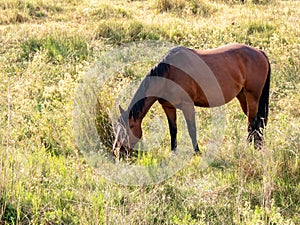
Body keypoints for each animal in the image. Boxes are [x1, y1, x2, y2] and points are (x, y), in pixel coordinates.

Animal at [111, 43, 270, 157]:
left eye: (129, 128)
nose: (117, 151)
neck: (169, 73)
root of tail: (260, 52)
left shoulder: (188, 106)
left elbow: (191, 129)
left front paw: (197, 151)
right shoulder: (168, 107)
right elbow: (173, 130)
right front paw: (173, 152)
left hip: (252, 97)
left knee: (252, 123)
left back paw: (248, 147)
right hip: (243, 97)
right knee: (257, 122)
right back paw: (258, 145)